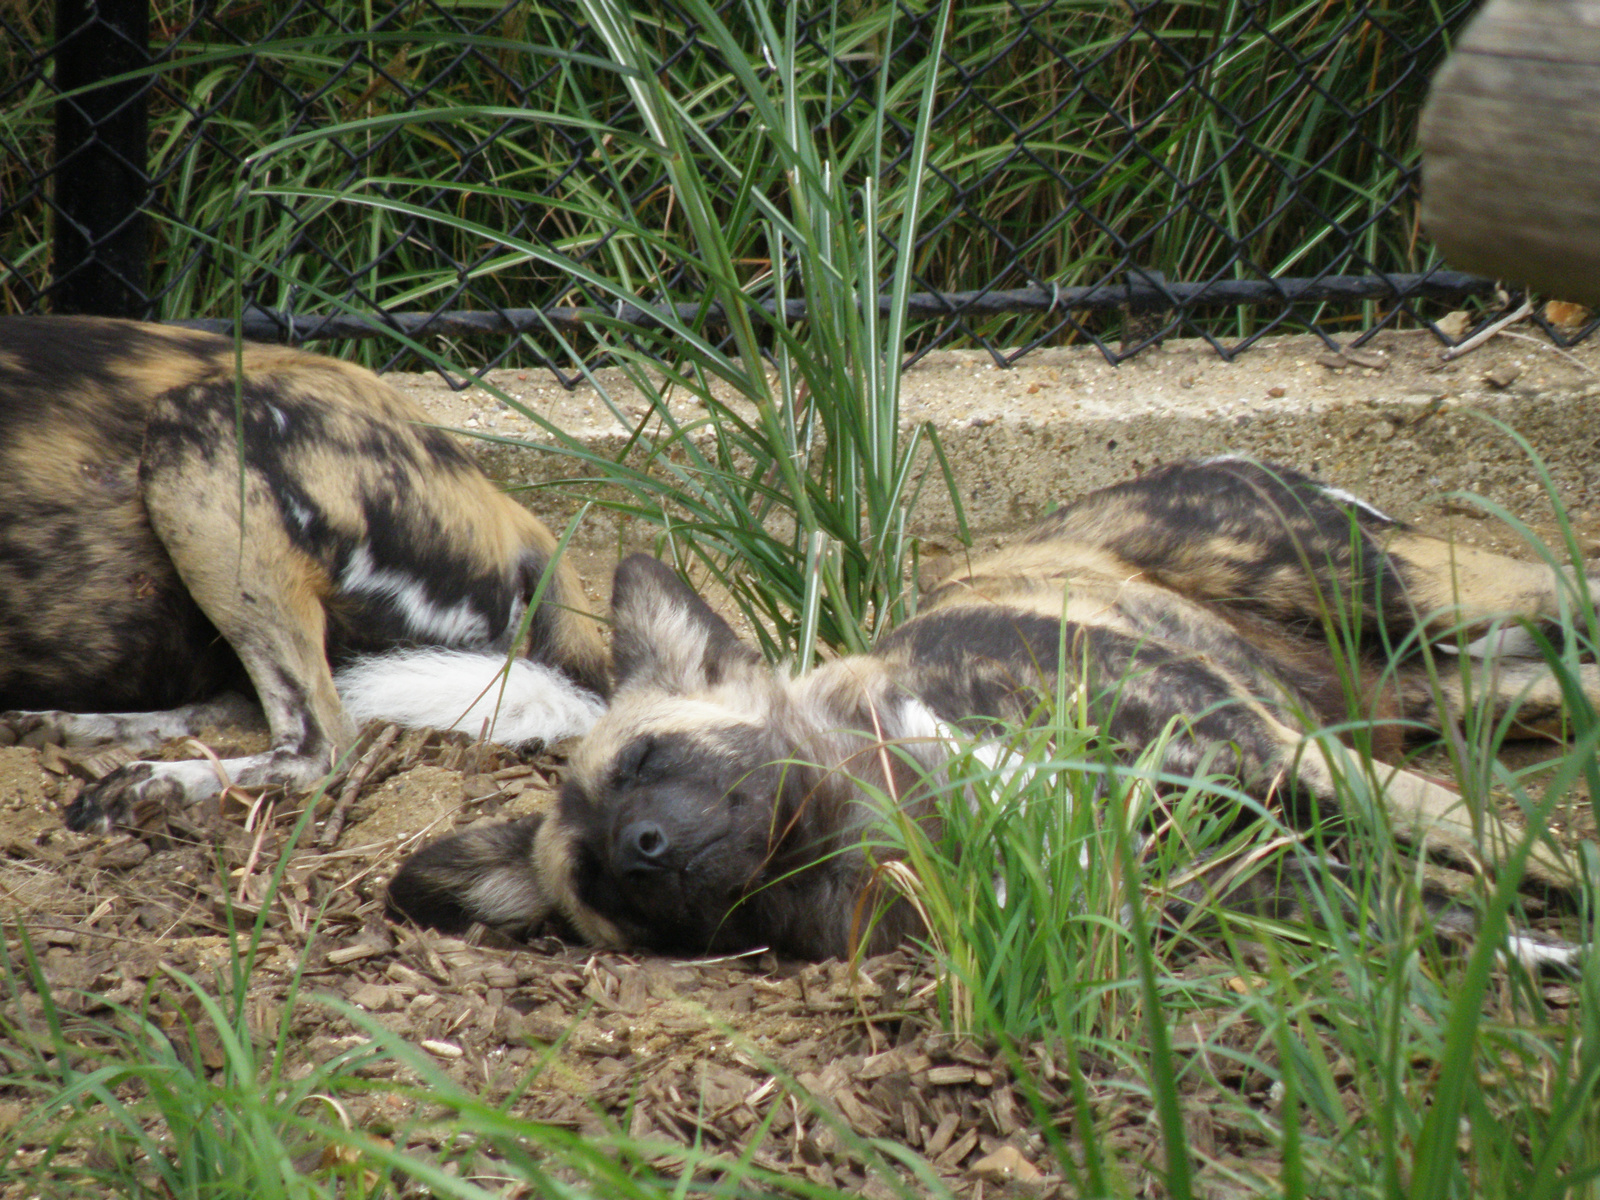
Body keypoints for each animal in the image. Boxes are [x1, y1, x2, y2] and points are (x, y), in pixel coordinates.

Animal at [0, 315, 608, 832]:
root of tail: (506, 507)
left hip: (202, 432)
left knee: (324, 744)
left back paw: (147, 782)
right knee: (238, 707)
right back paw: (55, 726)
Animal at [387, 454, 1600, 966]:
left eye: (644, 761)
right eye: (592, 881)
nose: (639, 850)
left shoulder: (1288, 765)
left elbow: (1536, 862)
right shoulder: (1250, 891)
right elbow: (1477, 927)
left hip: (1417, 600)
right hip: (1430, 693)